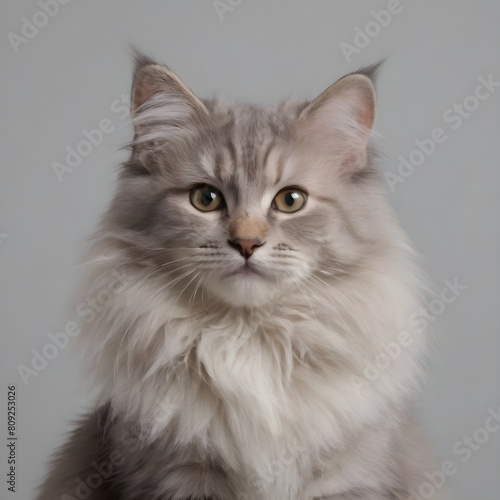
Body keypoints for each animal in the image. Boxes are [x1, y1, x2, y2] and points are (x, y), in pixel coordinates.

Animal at [38, 52, 446, 498]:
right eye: (206, 198)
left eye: (291, 200)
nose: (247, 243)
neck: (247, 339)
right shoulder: (173, 476)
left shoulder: (348, 479)